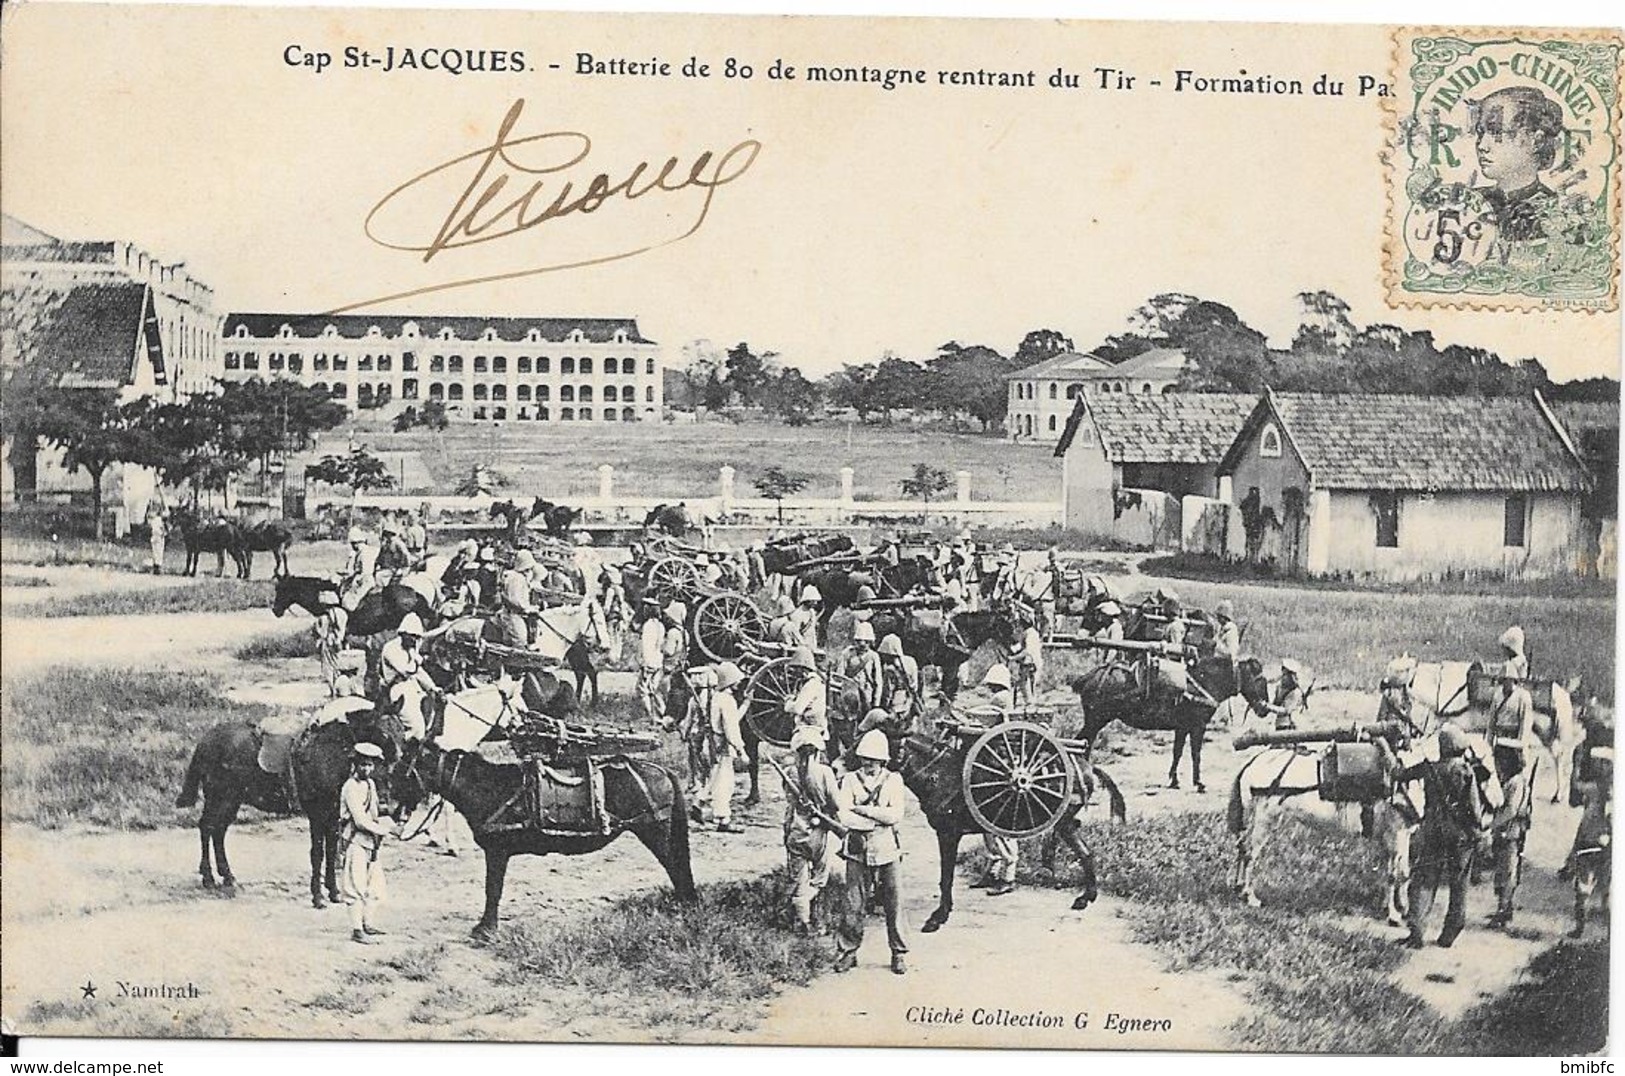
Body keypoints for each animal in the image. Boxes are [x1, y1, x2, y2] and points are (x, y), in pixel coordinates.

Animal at [173, 715, 406, 910]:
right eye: (382, 733)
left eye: (391, 764)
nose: (384, 804)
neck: (329, 757)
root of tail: (206, 740)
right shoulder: (317, 814)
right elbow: (318, 853)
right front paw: (318, 897)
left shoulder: (333, 815)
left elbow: (331, 851)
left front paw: (334, 892)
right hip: (220, 797)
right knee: (207, 827)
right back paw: (209, 878)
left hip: (231, 800)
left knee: (217, 831)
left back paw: (228, 876)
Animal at [394, 741, 705, 936]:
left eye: (402, 770)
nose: (390, 806)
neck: (486, 787)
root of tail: (662, 770)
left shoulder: (497, 851)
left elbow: (492, 889)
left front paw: (485, 929)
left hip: (654, 832)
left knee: (676, 866)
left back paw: (685, 908)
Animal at [1066, 653, 1267, 796]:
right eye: (1260, 680)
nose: (1264, 710)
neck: (1203, 682)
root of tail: (1090, 676)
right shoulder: (1198, 727)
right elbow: (1196, 754)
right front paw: (1198, 783)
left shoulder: (1182, 728)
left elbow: (1177, 752)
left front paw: (1174, 781)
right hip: (1095, 721)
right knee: (1081, 745)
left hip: (1094, 722)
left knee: (1084, 745)